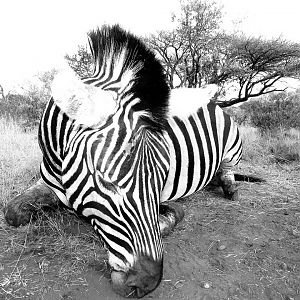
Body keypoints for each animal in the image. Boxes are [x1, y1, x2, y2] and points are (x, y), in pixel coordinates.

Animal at [4, 25, 243, 298]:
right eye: (105, 180)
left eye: (163, 177)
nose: (147, 283)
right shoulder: (49, 183)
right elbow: (12, 212)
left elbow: (171, 216)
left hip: (233, 144)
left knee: (229, 169)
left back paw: (229, 187)